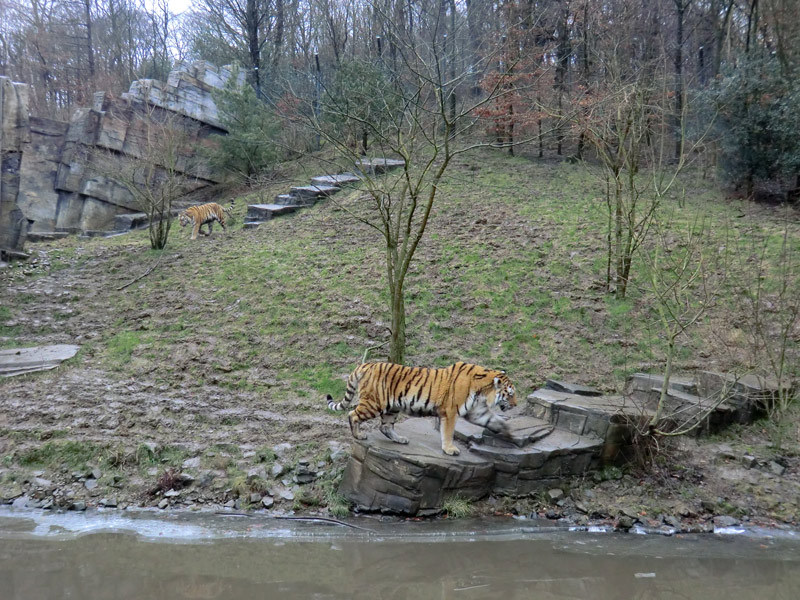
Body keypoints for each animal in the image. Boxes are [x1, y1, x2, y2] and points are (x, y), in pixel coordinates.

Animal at [326, 360, 520, 454]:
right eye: (510, 394)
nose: (516, 404)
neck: (482, 392)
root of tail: (365, 364)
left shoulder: (477, 412)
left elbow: (495, 421)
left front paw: (510, 434)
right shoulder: (450, 412)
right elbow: (448, 432)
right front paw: (450, 449)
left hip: (392, 408)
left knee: (385, 426)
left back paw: (400, 439)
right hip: (374, 404)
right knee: (352, 414)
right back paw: (359, 435)